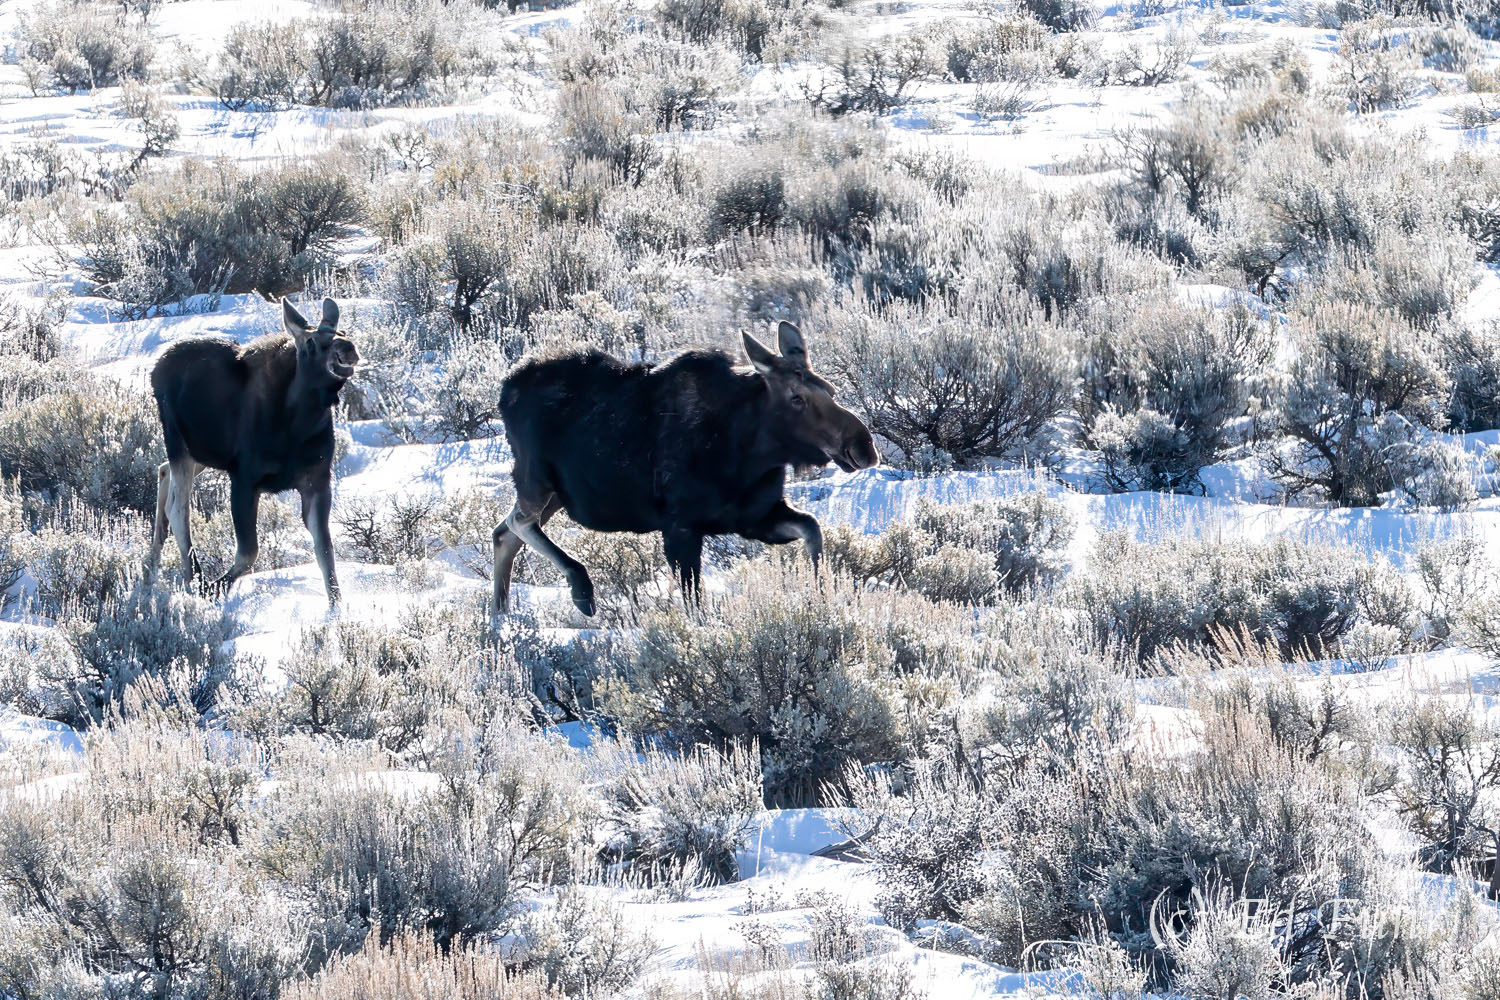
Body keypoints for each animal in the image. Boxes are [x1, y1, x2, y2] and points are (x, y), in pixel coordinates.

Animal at [147, 297, 358, 608]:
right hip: (179, 443)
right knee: (178, 507)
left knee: (163, 472)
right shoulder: (244, 479)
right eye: (310, 342)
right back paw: (192, 579)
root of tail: (154, 369)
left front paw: (336, 609)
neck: (300, 423)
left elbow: (326, 552)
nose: (348, 348)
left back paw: (151, 567)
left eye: (342, 332)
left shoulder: (317, 482)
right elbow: (249, 552)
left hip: (200, 454)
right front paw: (213, 587)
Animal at [491, 321, 879, 618]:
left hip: (557, 495)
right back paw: (579, 589)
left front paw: (823, 597)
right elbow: (695, 608)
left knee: (503, 534)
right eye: (796, 397)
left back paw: (501, 619)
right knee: (518, 522)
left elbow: (812, 529)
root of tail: (504, 388)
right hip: (536, 477)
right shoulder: (680, 526)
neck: (750, 452)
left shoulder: (756, 517)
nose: (863, 445)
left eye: (830, 388)